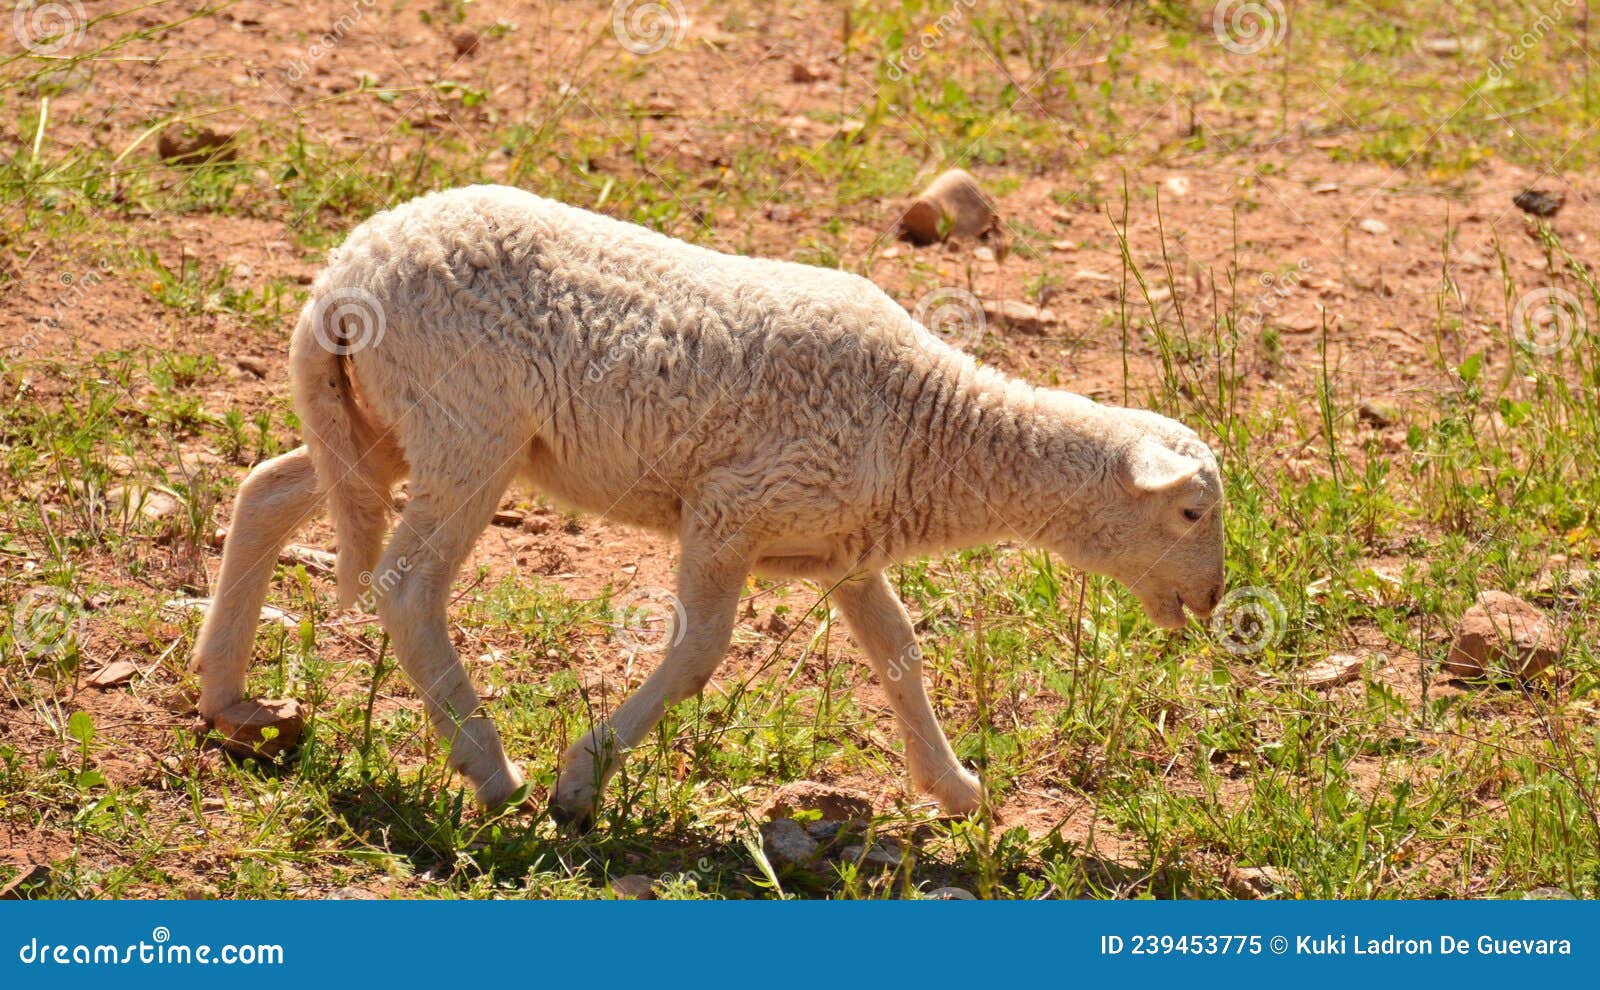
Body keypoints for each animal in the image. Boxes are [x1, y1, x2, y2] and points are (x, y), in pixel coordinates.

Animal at [193, 185, 1228, 831]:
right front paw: (583, 781)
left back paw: (227, 696)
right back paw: (492, 771)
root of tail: (340, 275)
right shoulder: (730, 508)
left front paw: (956, 788)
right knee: (407, 585)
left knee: (271, 490)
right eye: (1189, 515)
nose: (1218, 600)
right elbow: (698, 654)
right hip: (467, 427)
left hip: (380, 424)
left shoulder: (842, 546)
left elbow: (901, 654)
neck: (932, 429)